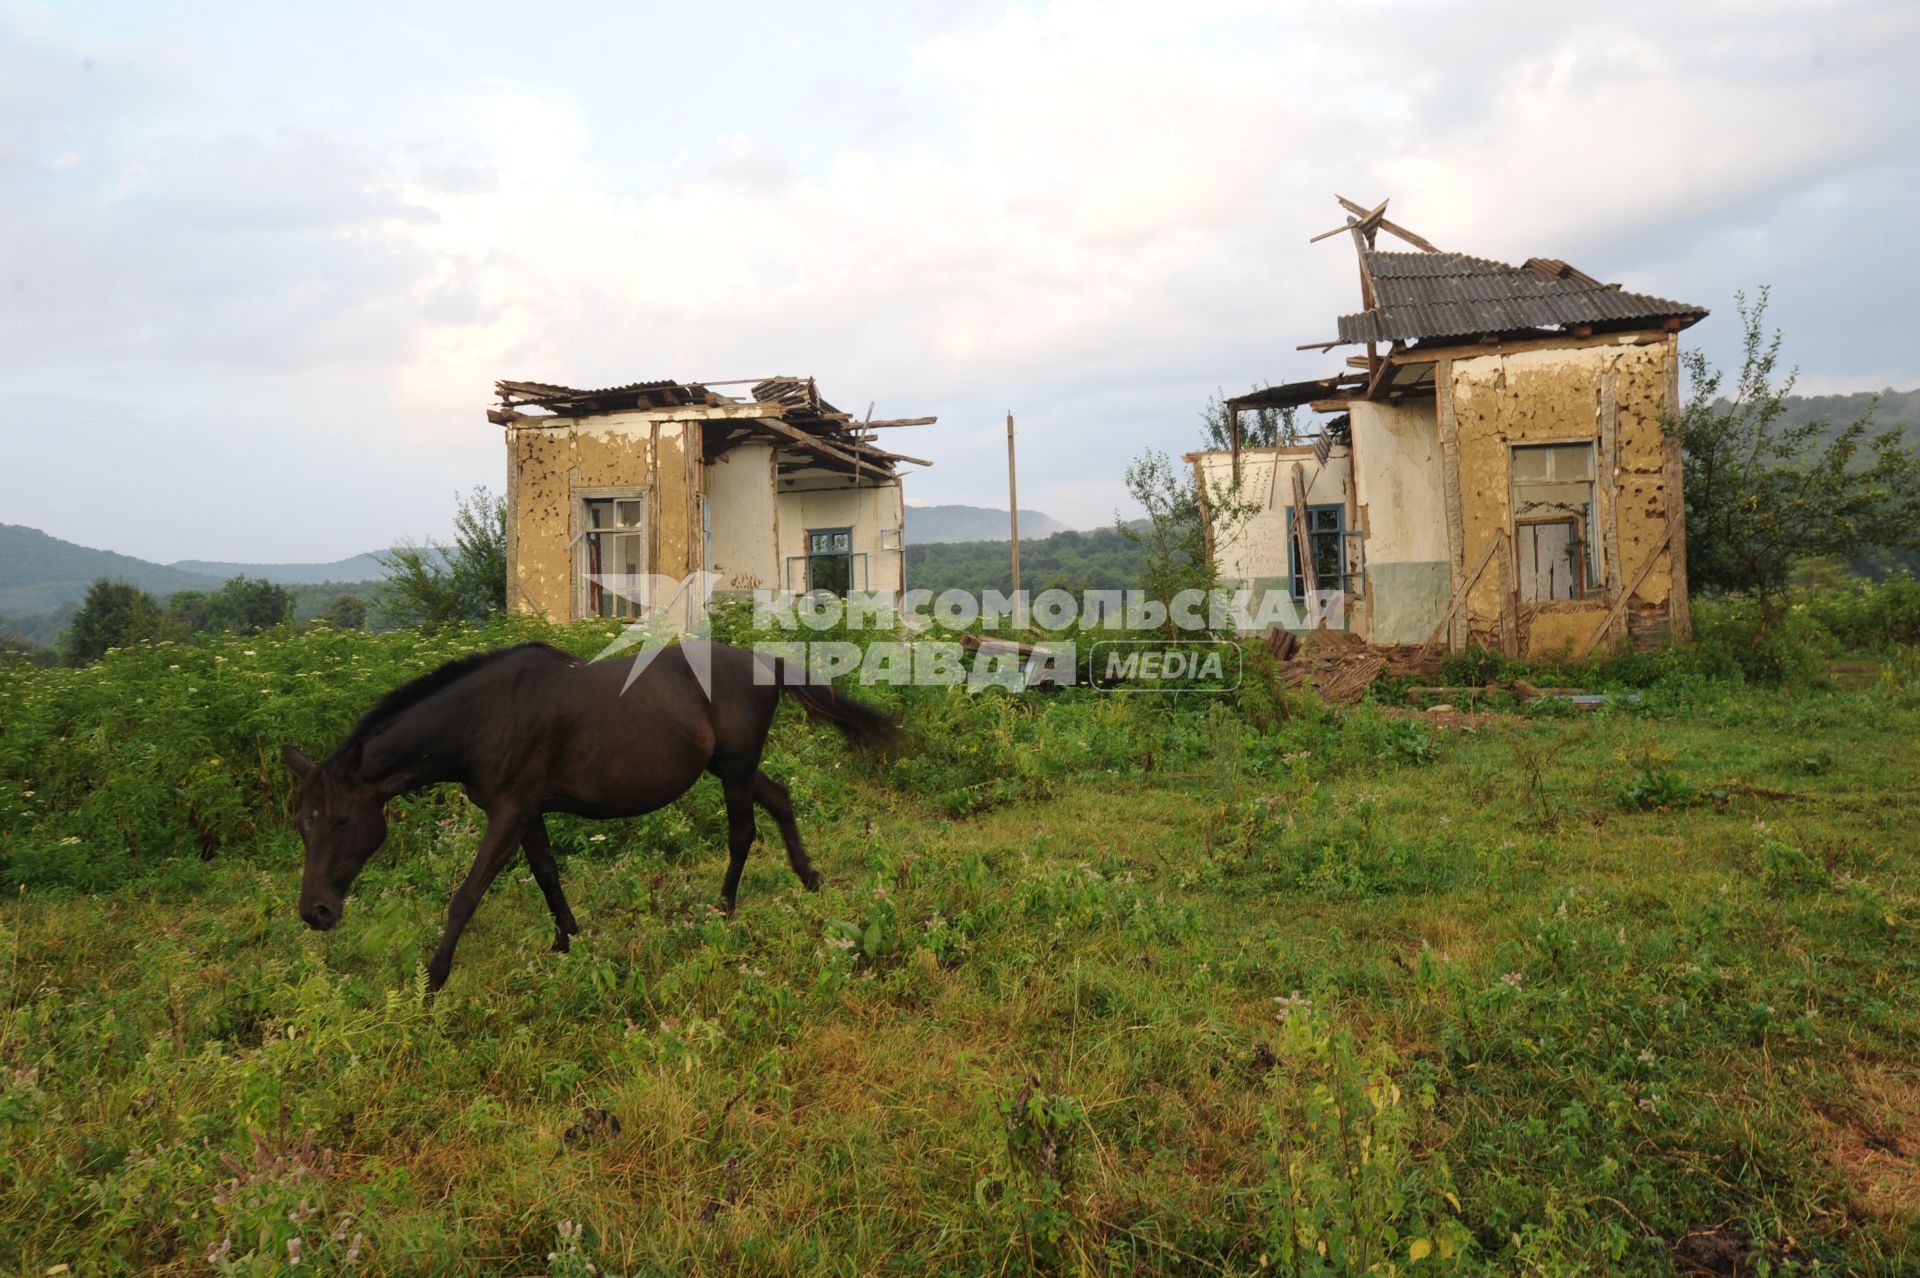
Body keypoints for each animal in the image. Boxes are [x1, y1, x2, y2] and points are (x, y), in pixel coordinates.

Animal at [280, 637, 894, 982]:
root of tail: (767, 663)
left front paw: (433, 979)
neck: (483, 717)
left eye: (341, 820)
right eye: (302, 827)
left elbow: (467, 897)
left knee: (742, 833)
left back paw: (724, 909)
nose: (316, 912)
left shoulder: (509, 812)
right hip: (729, 767)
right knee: (780, 800)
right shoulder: (527, 813)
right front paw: (567, 940)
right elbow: (547, 876)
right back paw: (809, 879)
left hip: (736, 771)